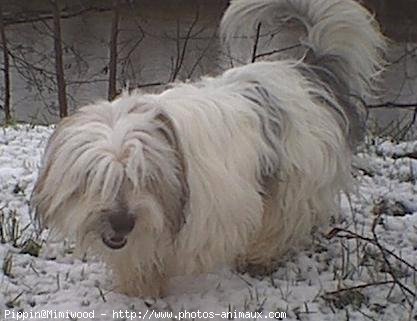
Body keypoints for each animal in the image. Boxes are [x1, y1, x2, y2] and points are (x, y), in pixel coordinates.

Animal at [30, 0, 386, 298]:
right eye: (96, 178)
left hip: (295, 182)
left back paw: (258, 256)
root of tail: (308, 70)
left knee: (281, 222)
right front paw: (137, 289)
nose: (122, 223)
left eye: (145, 177)